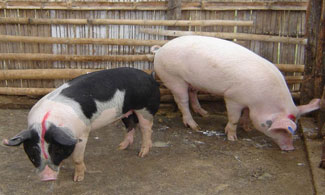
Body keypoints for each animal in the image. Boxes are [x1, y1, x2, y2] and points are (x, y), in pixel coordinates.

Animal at [2, 68, 159, 182]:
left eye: (56, 151)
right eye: (33, 154)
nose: (48, 178)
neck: (46, 122)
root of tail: (150, 78)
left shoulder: (83, 133)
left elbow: (77, 158)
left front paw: (78, 179)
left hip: (145, 109)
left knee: (146, 129)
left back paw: (142, 154)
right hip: (126, 111)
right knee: (131, 125)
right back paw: (121, 147)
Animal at [152, 35, 318, 151]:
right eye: (280, 129)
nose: (290, 148)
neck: (262, 101)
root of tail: (160, 50)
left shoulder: (247, 101)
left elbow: (246, 113)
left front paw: (247, 128)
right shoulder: (232, 97)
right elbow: (234, 118)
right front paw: (233, 138)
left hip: (191, 82)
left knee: (192, 94)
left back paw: (204, 113)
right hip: (174, 78)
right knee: (182, 101)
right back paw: (195, 126)